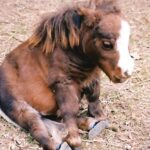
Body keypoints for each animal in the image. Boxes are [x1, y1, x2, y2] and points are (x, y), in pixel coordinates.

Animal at [0, 0, 134, 150]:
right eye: (107, 44)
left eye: (128, 38)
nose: (126, 73)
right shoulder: (63, 83)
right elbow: (70, 109)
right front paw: (74, 140)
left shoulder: (91, 76)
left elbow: (94, 96)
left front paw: (100, 120)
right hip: (21, 108)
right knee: (37, 128)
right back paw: (61, 144)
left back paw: (88, 123)